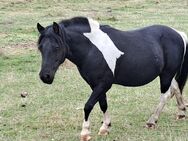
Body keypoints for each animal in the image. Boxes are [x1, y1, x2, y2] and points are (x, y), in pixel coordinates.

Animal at [36, 16, 188, 141]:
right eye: (41, 47)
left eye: (56, 47)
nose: (45, 76)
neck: (91, 49)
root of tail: (178, 34)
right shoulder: (96, 85)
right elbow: (103, 104)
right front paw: (105, 127)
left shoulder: (103, 84)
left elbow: (88, 105)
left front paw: (85, 132)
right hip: (168, 74)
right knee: (175, 88)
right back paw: (181, 112)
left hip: (166, 74)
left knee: (165, 95)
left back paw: (152, 121)